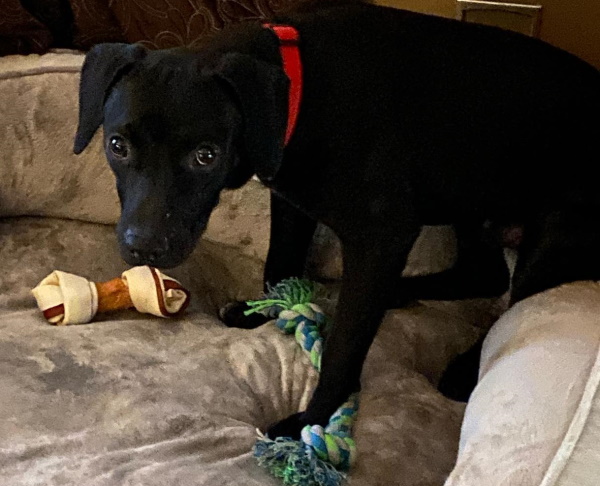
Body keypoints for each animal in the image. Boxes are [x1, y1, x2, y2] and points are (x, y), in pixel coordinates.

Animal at [74, 0, 600, 440]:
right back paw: (399, 293)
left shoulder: (381, 238)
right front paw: (265, 312)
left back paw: (463, 369)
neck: (302, 91)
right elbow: (279, 266)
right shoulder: (290, 204)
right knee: (484, 274)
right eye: (117, 146)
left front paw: (311, 420)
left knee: (514, 304)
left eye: (206, 156)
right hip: (470, 202)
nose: (144, 246)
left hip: (553, 233)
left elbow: (345, 344)